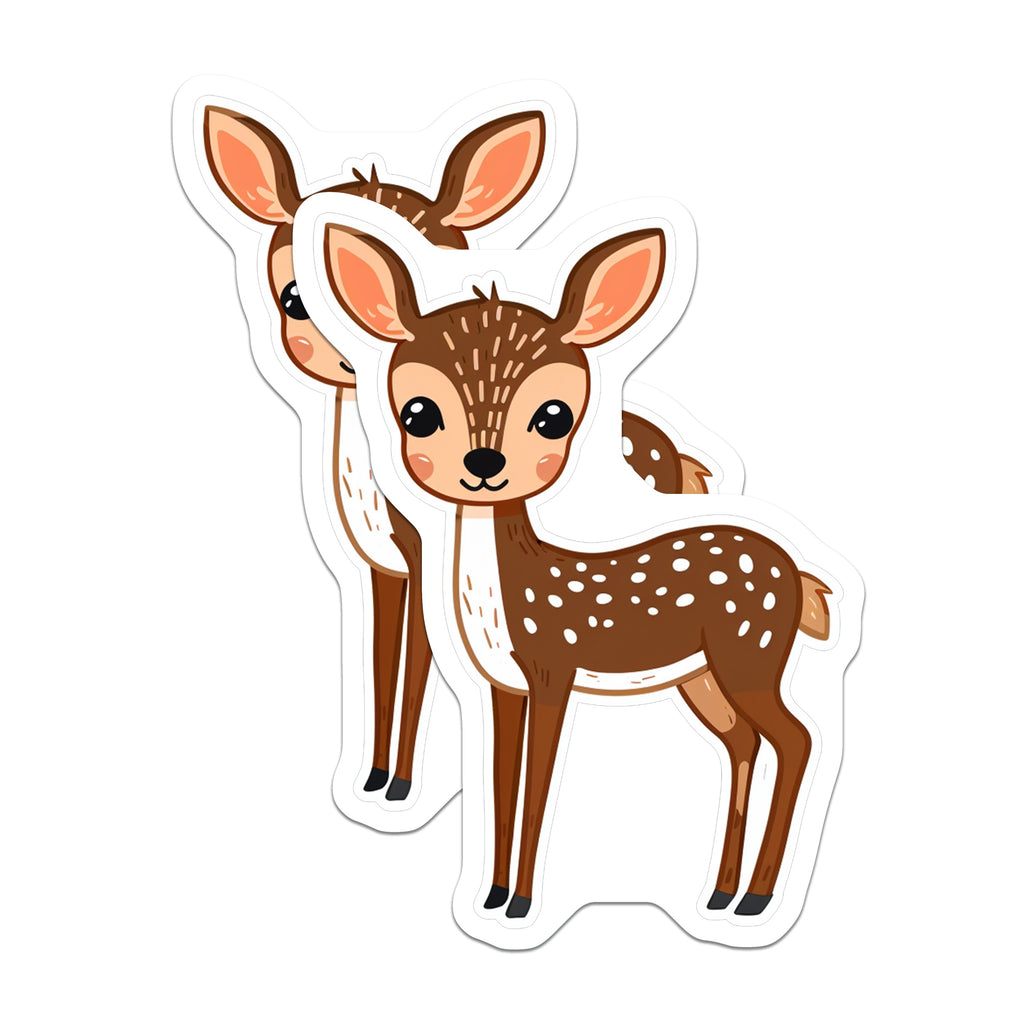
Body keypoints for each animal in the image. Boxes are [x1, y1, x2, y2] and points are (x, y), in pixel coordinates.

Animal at [199, 104, 714, 803]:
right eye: (295, 297)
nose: (351, 356)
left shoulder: (423, 559)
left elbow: (421, 663)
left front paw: (402, 784)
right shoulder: (386, 567)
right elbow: (382, 657)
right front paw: (374, 776)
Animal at [316, 218, 834, 920]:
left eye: (554, 414)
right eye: (418, 412)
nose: (483, 463)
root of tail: (797, 575)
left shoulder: (553, 667)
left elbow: (538, 782)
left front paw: (519, 904)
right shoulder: (504, 684)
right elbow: (502, 780)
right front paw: (492, 895)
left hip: (750, 655)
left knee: (798, 739)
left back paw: (755, 899)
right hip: (702, 677)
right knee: (743, 743)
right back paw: (722, 893)